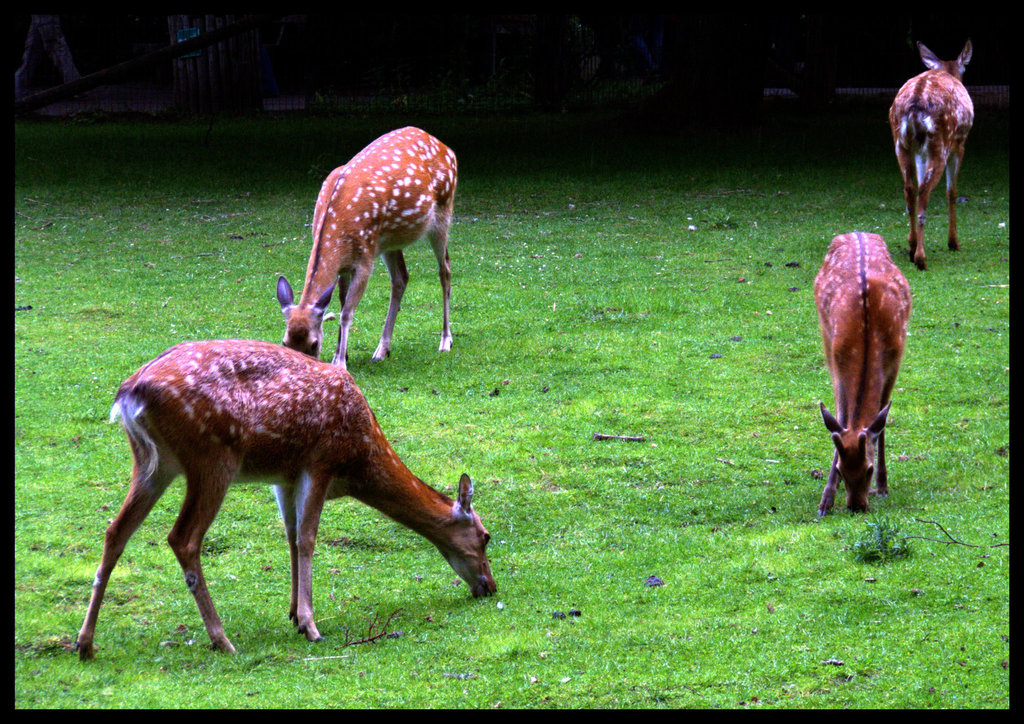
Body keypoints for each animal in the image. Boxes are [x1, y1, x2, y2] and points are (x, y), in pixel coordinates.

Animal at [74, 339, 493, 663]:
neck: (359, 460)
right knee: (183, 538)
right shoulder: (320, 461)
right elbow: (307, 538)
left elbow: (290, 537)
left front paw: (293, 614)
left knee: (115, 532)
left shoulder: (283, 476)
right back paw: (222, 640)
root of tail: (130, 394)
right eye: (486, 536)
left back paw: (85, 643)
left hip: (152, 463)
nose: (490, 586)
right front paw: (310, 624)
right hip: (213, 457)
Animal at [278, 125, 458, 370]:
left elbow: (346, 312)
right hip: (388, 242)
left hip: (442, 212)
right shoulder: (344, 266)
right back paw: (382, 350)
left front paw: (340, 362)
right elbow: (342, 302)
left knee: (445, 269)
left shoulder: (364, 260)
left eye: (314, 344)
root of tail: (447, 148)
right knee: (401, 277)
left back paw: (445, 340)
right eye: (285, 342)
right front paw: (341, 355)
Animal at [815, 233, 913, 516]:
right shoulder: (836, 362)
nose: (856, 506)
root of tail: (857, 232)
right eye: (841, 469)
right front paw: (826, 499)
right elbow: (840, 419)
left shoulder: (895, 361)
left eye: (868, 469)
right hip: (824, 333)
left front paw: (882, 486)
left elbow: (882, 419)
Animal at [888, 38, 974, 268]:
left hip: (900, 143)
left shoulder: (919, 151)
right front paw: (954, 243)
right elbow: (951, 192)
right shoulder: (959, 144)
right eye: (964, 69)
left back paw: (912, 247)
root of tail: (914, 106)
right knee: (925, 190)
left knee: (910, 189)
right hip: (941, 143)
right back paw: (921, 258)